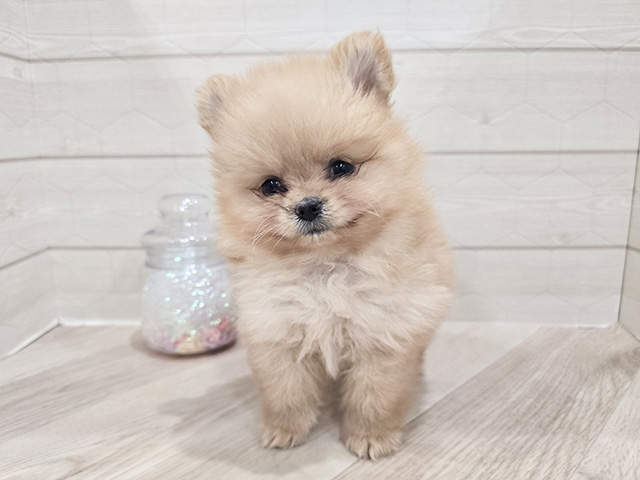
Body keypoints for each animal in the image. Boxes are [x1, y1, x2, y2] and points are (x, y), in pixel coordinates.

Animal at [196, 31, 454, 460]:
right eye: (271, 186)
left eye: (341, 167)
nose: (307, 206)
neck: (325, 267)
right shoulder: (277, 330)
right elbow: (285, 392)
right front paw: (284, 429)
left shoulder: (385, 333)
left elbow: (375, 396)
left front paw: (370, 436)